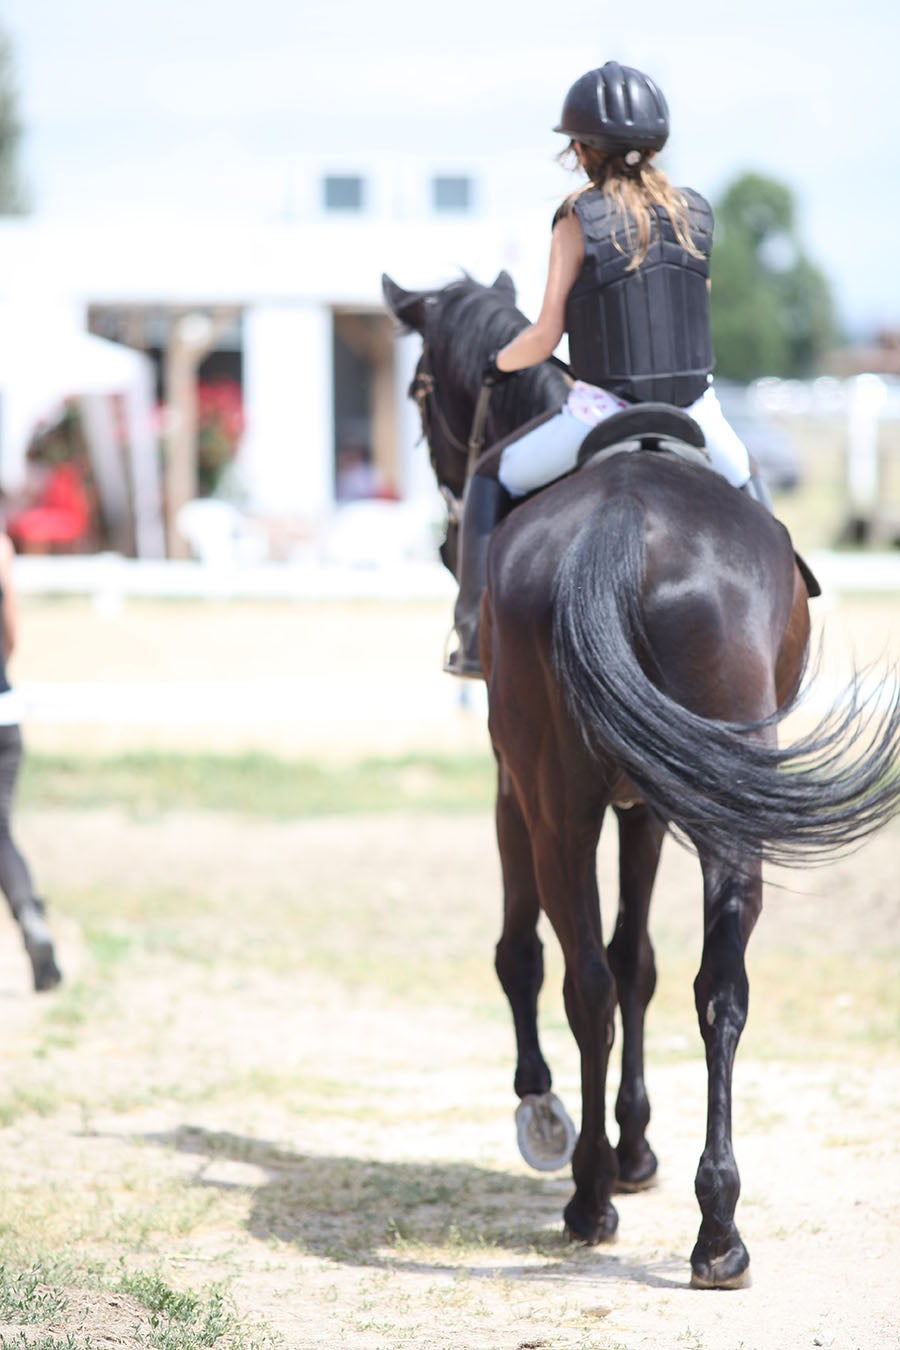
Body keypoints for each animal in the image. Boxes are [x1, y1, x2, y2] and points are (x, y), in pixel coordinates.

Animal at [383, 271, 900, 1285]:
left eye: (420, 393)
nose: (445, 536)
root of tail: (624, 517)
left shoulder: (518, 794)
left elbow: (532, 954)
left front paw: (553, 1118)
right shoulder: (651, 808)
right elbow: (643, 964)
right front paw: (636, 1146)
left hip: (557, 808)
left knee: (581, 978)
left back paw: (587, 1195)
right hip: (719, 806)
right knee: (718, 988)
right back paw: (718, 1228)